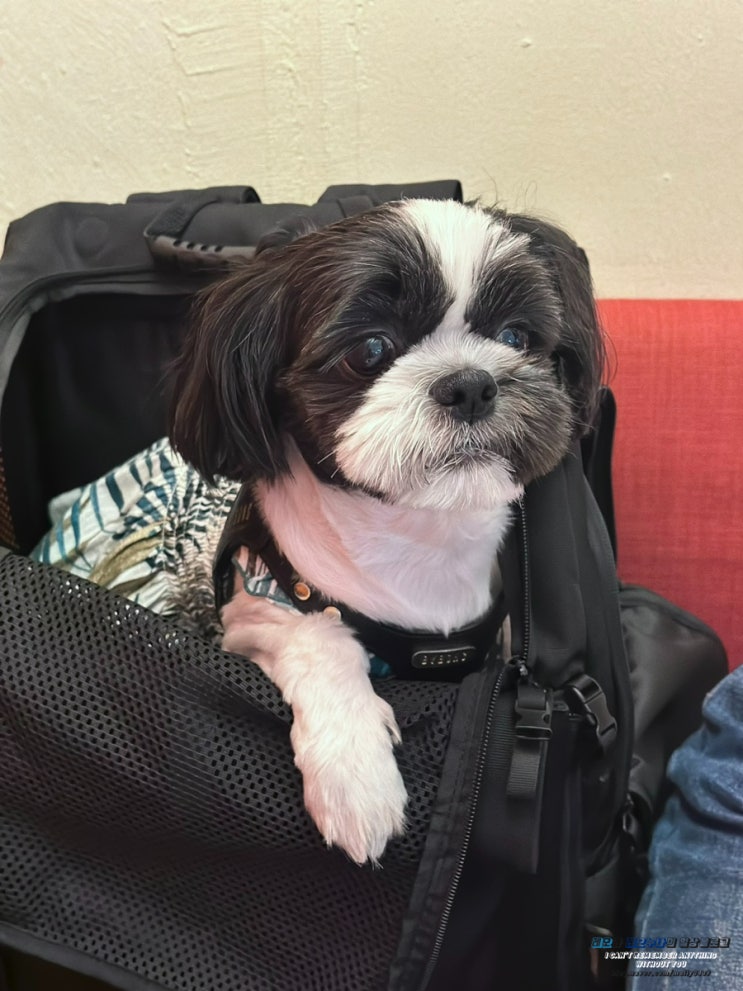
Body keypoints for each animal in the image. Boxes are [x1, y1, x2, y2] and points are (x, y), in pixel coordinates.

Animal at [169, 198, 605, 865]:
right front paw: (356, 775)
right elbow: (318, 638)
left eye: (516, 338)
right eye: (371, 348)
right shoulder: (258, 606)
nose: (471, 383)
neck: (419, 537)